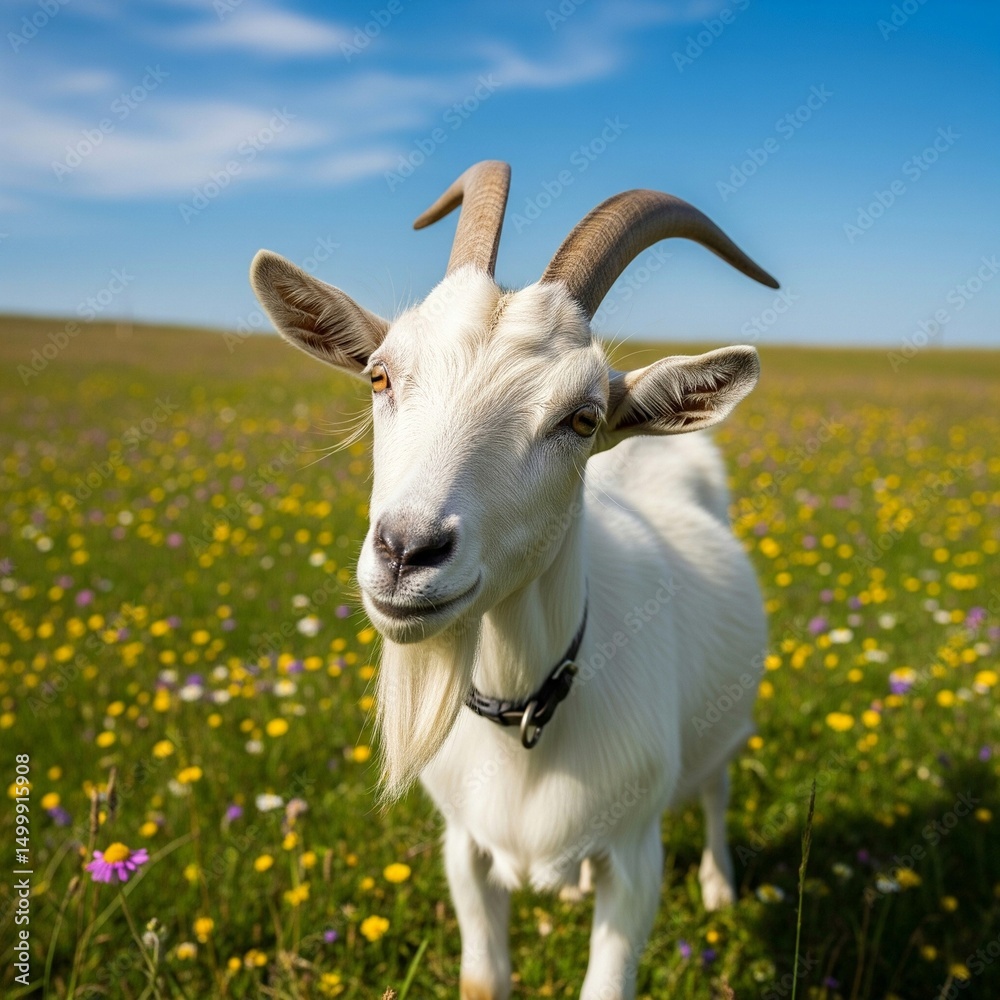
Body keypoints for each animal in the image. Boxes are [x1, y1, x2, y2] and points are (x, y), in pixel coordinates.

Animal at [250, 161, 777, 1000]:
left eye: (583, 419)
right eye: (379, 375)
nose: (407, 550)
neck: (524, 709)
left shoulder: (637, 856)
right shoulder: (462, 846)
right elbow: (484, 977)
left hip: (724, 725)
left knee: (718, 789)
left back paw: (721, 887)